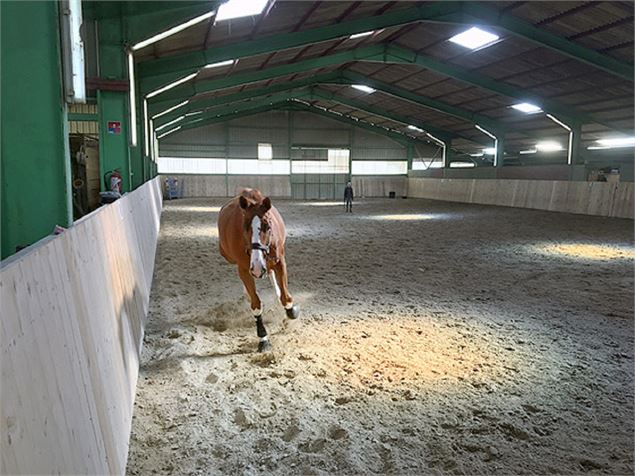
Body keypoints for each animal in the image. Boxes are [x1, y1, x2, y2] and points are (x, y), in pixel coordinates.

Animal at [217, 188, 300, 352]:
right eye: (245, 227)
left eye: (267, 226)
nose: (256, 268)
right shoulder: (244, 269)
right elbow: (256, 304)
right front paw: (263, 339)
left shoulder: (280, 262)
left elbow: (286, 297)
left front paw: (291, 310)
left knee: (271, 275)